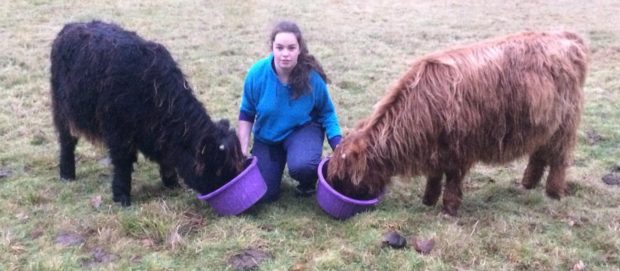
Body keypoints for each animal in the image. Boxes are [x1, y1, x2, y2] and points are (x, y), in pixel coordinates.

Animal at [326, 30, 588, 216]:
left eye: (344, 179)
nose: (345, 200)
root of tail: (566, 37)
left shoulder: (460, 148)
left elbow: (452, 179)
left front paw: (449, 208)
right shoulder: (435, 150)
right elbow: (434, 176)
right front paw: (428, 200)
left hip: (564, 125)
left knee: (559, 159)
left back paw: (553, 192)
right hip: (545, 126)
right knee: (539, 154)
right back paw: (527, 184)